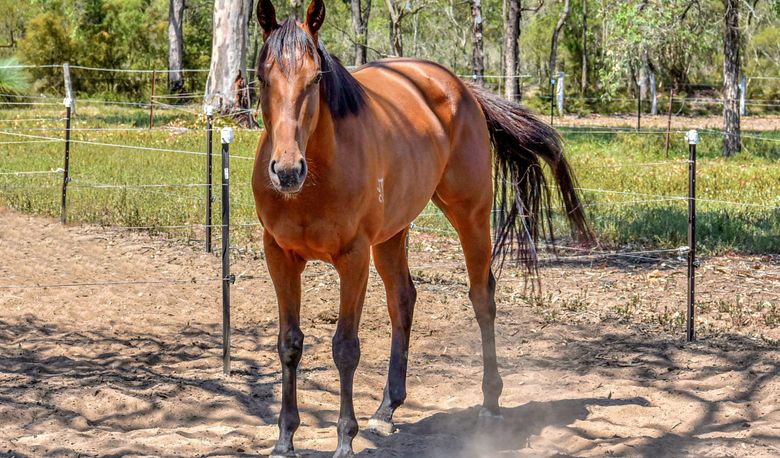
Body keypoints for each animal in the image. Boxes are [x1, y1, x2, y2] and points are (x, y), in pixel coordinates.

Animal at [251, 1, 592, 456]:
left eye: (316, 77)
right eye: (262, 76)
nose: (287, 170)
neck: (315, 179)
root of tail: (460, 87)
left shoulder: (353, 259)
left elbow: (345, 348)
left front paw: (344, 440)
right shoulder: (280, 256)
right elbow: (289, 344)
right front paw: (285, 439)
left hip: (469, 214)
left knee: (482, 297)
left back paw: (490, 405)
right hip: (393, 234)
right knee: (403, 299)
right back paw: (386, 410)